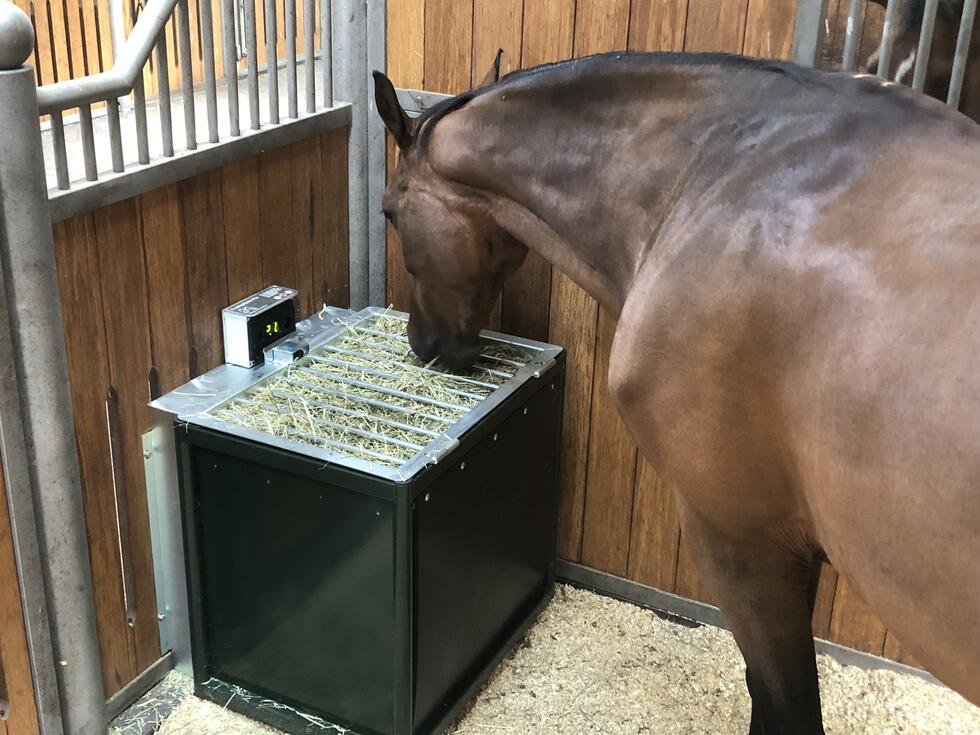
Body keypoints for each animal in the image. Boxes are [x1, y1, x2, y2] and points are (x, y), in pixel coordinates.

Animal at [372, 51, 980, 734]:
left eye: (391, 212)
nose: (422, 345)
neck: (708, 183)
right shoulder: (798, 549)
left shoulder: (738, 538)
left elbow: (779, 701)